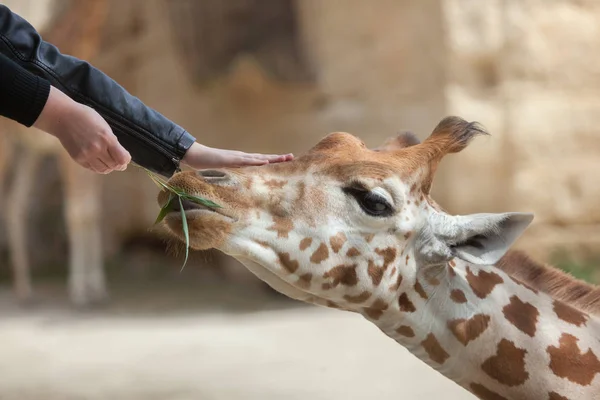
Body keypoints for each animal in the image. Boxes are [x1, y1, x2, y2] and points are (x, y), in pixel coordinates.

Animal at [0, 0, 110, 306]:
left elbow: (92, 211)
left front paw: (98, 288)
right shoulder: (66, 152)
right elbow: (75, 211)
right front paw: (79, 292)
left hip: (28, 153)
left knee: (15, 203)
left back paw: (25, 290)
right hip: (7, 148)